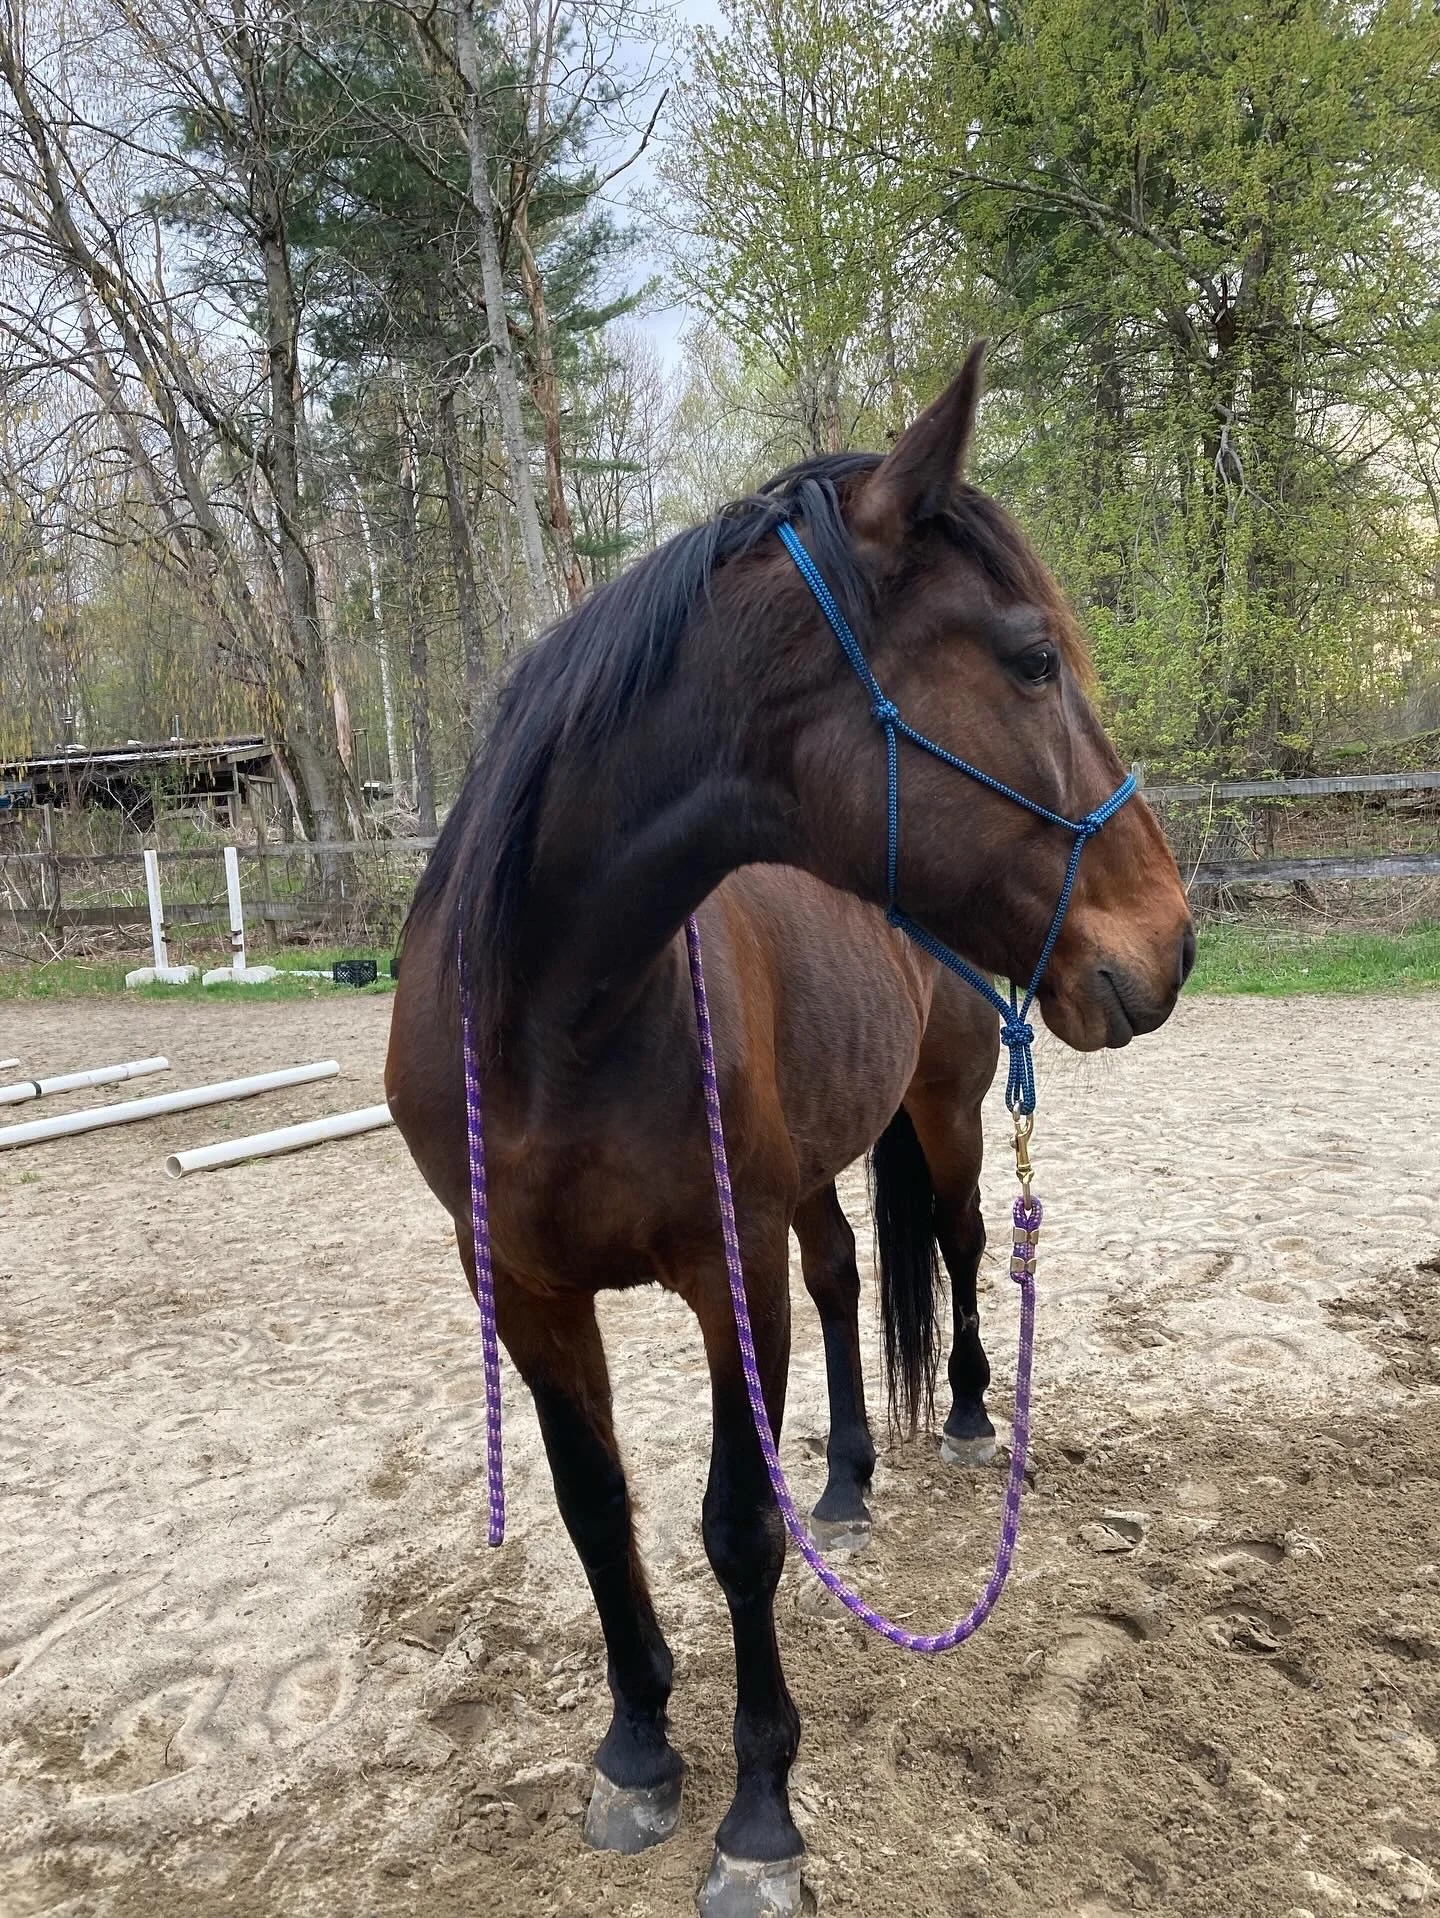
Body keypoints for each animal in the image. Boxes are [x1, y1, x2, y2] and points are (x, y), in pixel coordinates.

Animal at [386, 345, 1194, 1917]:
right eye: (1032, 658)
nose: (1171, 942)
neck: (554, 1011)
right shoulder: (519, 1280)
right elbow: (596, 1506)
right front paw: (638, 1746)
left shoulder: (725, 1263)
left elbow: (735, 1528)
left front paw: (760, 1814)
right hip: (811, 1175)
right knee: (841, 1279)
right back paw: (850, 1475)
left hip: (942, 1119)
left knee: (951, 1249)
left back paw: (960, 1418)